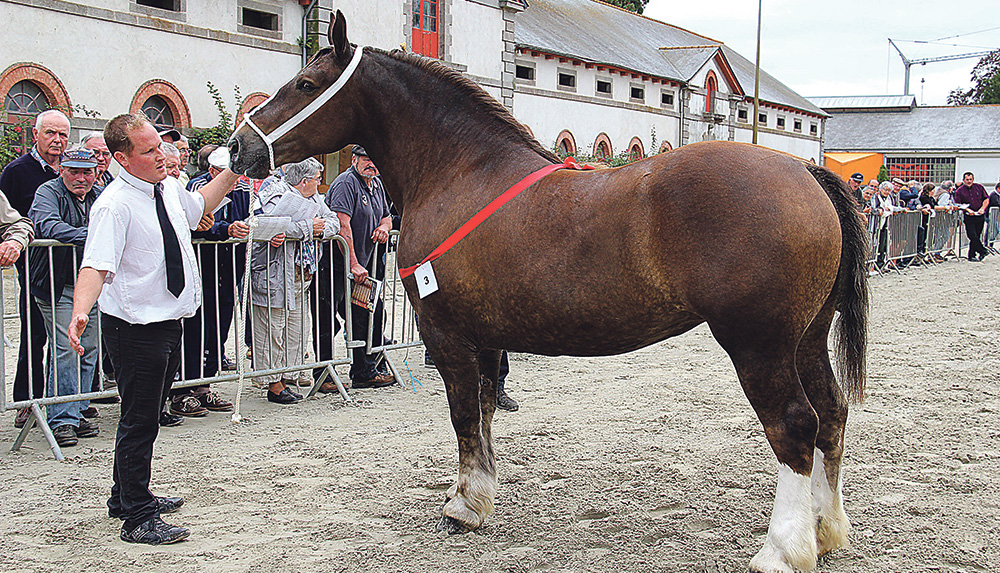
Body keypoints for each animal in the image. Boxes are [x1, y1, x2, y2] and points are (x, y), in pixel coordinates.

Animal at [229, 11, 868, 568]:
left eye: (306, 83)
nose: (238, 148)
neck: (464, 173)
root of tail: (803, 171)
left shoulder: (447, 335)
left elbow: (463, 414)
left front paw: (463, 507)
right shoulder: (485, 338)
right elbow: (485, 409)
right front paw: (478, 496)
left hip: (759, 345)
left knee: (794, 425)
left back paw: (784, 549)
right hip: (806, 339)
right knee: (831, 415)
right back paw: (826, 530)